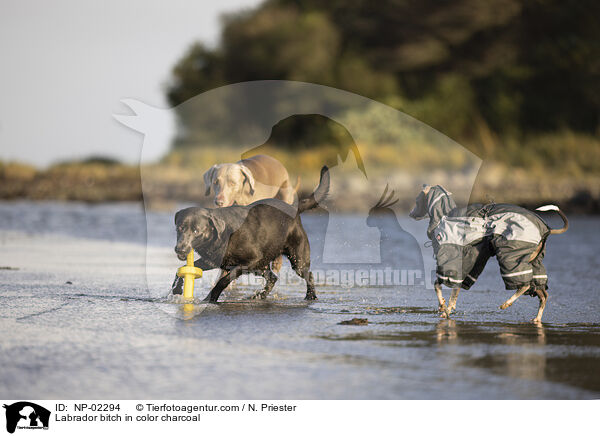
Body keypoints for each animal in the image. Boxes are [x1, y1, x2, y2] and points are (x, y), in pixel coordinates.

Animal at [171, 165, 330, 302]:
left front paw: (212, 298)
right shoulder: (212, 260)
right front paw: (176, 290)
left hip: (296, 260)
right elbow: (181, 271)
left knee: (308, 275)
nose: (180, 249)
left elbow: (223, 280)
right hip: (262, 265)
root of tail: (293, 208)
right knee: (273, 278)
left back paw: (310, 296)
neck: (224, 234)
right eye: (180, 228)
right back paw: (260, 296)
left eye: (196, 231)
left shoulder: (248, 262)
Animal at [408, 185, 568, 324]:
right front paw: (446, 308)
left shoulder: (453, 262)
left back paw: (506, 303)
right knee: (542, 294)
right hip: (534, 263)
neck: (444, 215)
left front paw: (444, 307)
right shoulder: (468, 265)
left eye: (417, 199)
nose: (410, 214)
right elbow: (452, 291)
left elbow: (438, 286)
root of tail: (547, 229)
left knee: (525, 285)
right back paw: (536, 318)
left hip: (511, 256)